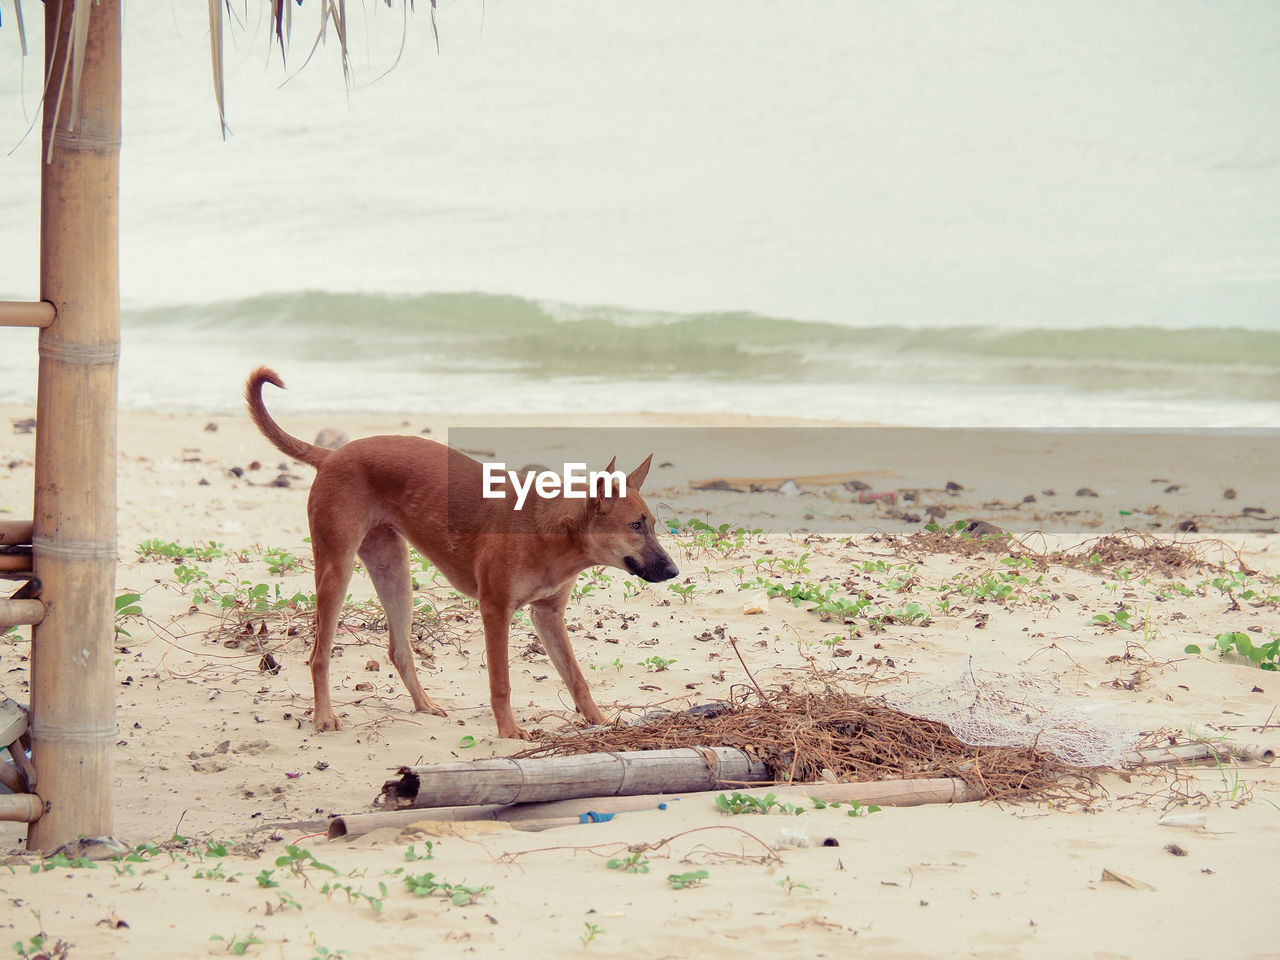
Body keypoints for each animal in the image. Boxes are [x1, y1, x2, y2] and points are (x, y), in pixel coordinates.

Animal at [243, 366, 675, 737]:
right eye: (636, 526)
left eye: (651, 524)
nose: (673, 572)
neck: (551, 530)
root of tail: (332, 455)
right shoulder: (495, 611)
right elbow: (501, 682)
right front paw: (508, 731)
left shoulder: (548, 615)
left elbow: (576, 678)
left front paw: (600, 721)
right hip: (337, 569)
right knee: (319, 654)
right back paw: (324, 716)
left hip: (394, 571)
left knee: (399, 650)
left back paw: (424, 705)